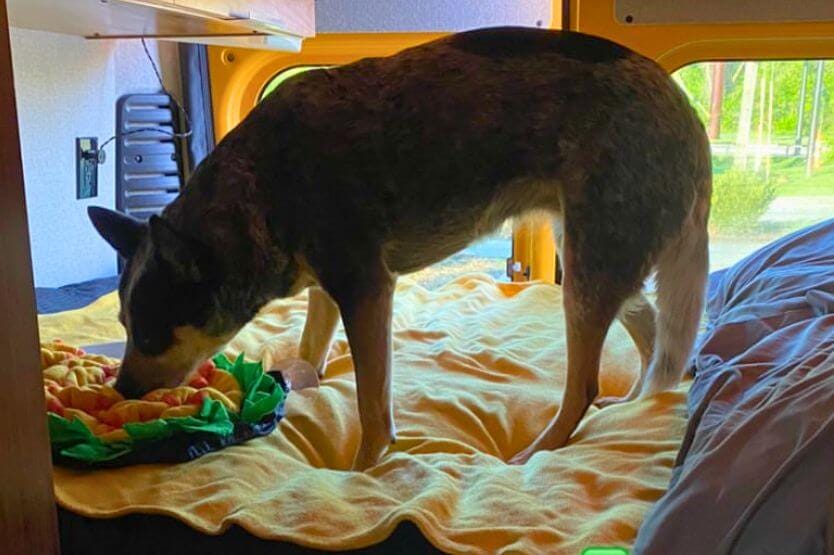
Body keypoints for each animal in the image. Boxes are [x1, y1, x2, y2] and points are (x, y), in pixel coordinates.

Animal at [86, 26, 708, 470]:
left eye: (150, 334)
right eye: (122, 326)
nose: (121, 391)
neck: (260, 189)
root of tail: (686, 116)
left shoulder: (366, 291)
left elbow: (371, 405)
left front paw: (361, 471)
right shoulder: (328, 292)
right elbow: (310, 353)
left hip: (587, 270)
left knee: (584, 385)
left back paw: (537, 454)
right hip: (596, 261)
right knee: (660, 349)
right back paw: (631, 408)